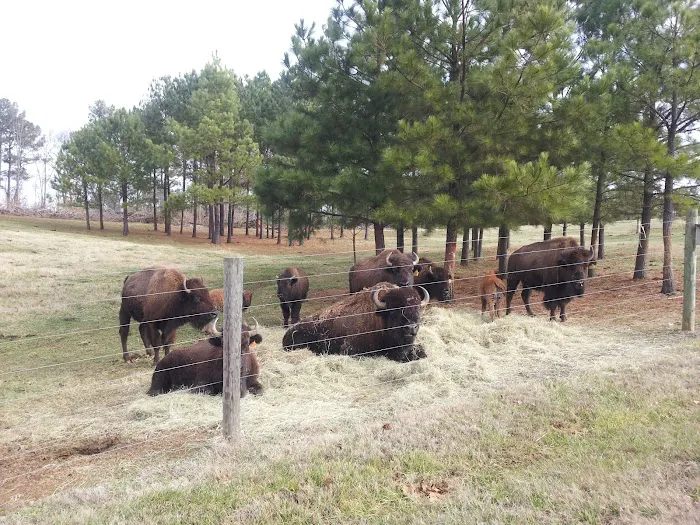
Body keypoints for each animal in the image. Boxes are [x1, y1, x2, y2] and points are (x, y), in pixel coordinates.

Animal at [283, 282, 430, 362]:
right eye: (394, 312)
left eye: (417, 310)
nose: (411, 328)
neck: (380, 317)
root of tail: (286, 334)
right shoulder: (350, 349)